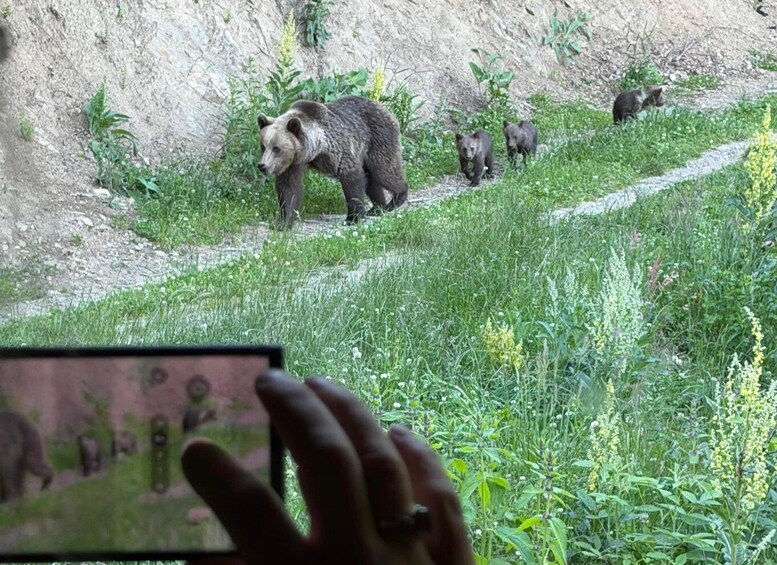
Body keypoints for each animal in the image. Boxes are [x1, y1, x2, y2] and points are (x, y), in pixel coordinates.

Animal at [257, 96, 409, 228]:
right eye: (263, 146)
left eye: (277, 148)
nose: (262, 166)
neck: (315, 149)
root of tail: (385, 109)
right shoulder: (294, 162)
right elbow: (289, 187)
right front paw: (284, 222)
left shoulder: (338, 149)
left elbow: (352, 179)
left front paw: (353, 218)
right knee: (371, 178)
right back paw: (378, 208)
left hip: (378, 138)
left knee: (383, 170)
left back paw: (397, 198)